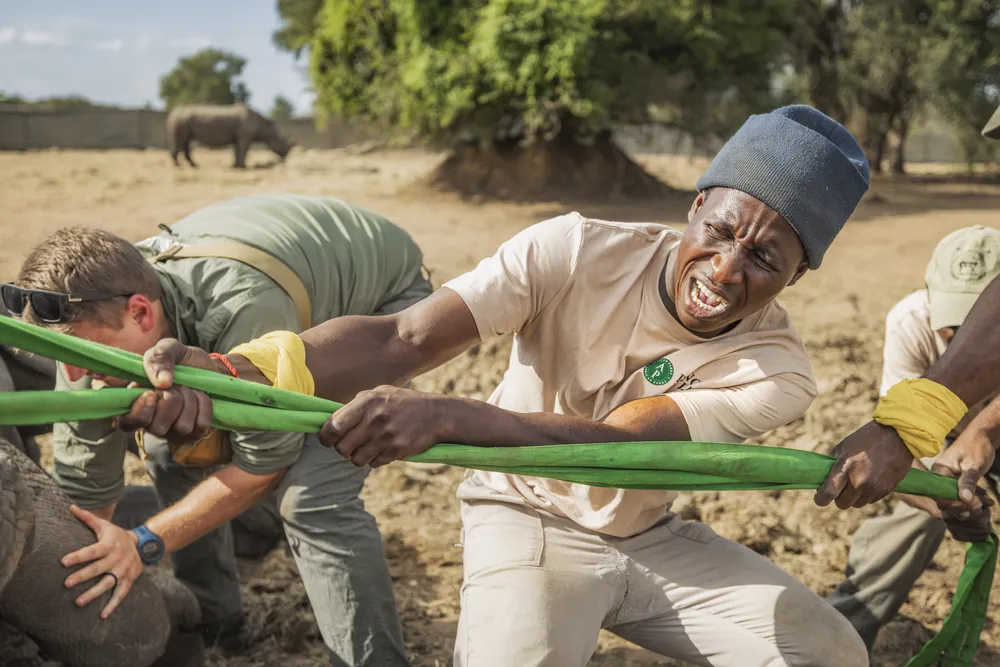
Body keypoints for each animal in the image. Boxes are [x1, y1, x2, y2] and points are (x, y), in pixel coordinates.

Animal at [165, 104, 294, 169]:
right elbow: (243, 150)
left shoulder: (238, 137)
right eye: (281, 141)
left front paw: (235, 166)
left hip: (182, 120)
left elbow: (237, 150)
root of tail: (172, 113)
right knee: (180, 140)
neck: (265, 126)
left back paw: (194, 165)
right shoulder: (244, 136)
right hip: (179, 120)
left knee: (185, 141)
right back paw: (177, 167)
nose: (285, 157)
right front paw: (242, 167)